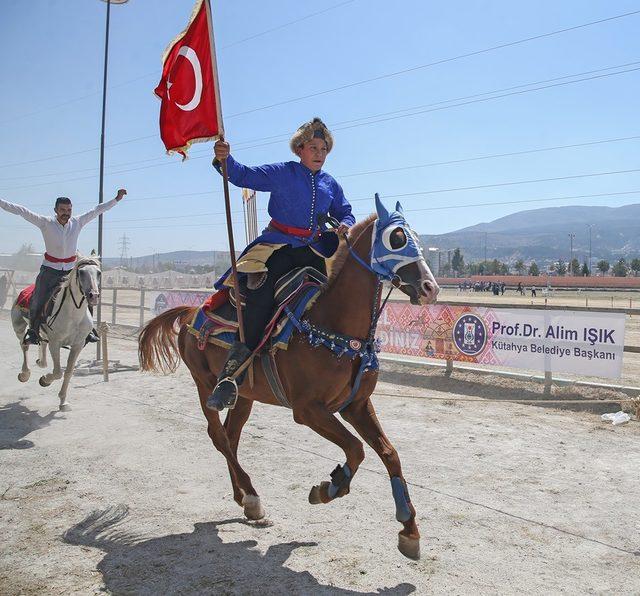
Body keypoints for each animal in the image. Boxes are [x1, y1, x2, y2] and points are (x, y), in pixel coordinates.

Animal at [10, 258, 101, 412]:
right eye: (81, 272)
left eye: (99, 273)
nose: (93, 295)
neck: (72, 315)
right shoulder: (55, 343)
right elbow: (58, 372)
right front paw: (44, 380)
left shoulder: (78, 345)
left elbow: (68, 372)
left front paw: (63, 402)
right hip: (19, 327)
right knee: (24, 345)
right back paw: (24, 374)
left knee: (41, 344)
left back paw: (40, 362)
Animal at [139, 205, 440, 560]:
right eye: (397, 238)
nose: (429, 288)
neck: (333, 326)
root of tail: (190, 311)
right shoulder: (308, 410)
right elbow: (356, 448)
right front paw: (328, 488)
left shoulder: (356, 406)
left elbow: (389, 453)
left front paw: (409, 529)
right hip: (205, 385)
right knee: (218, 436)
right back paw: (252, 498)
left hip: (244, 396)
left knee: (231, 436)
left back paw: (242, 498)